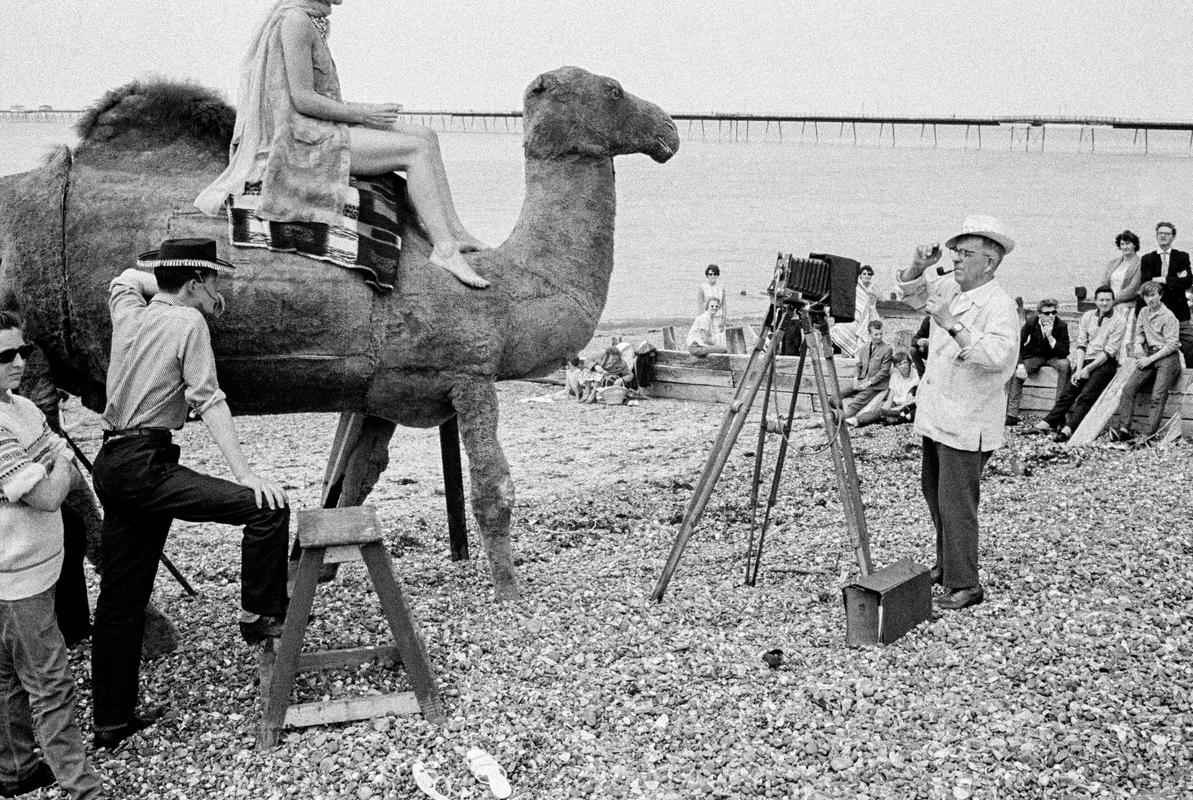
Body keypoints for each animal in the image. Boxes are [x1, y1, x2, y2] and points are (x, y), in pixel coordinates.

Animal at [0, 67, 682, 600]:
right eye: (614, 89)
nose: (670, 131)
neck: (504, 288)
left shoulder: (387, 388)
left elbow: (359, 478)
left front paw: (324, 566)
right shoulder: (471, 374)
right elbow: (494, 487)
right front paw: (512, 592)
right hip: (29, 344)